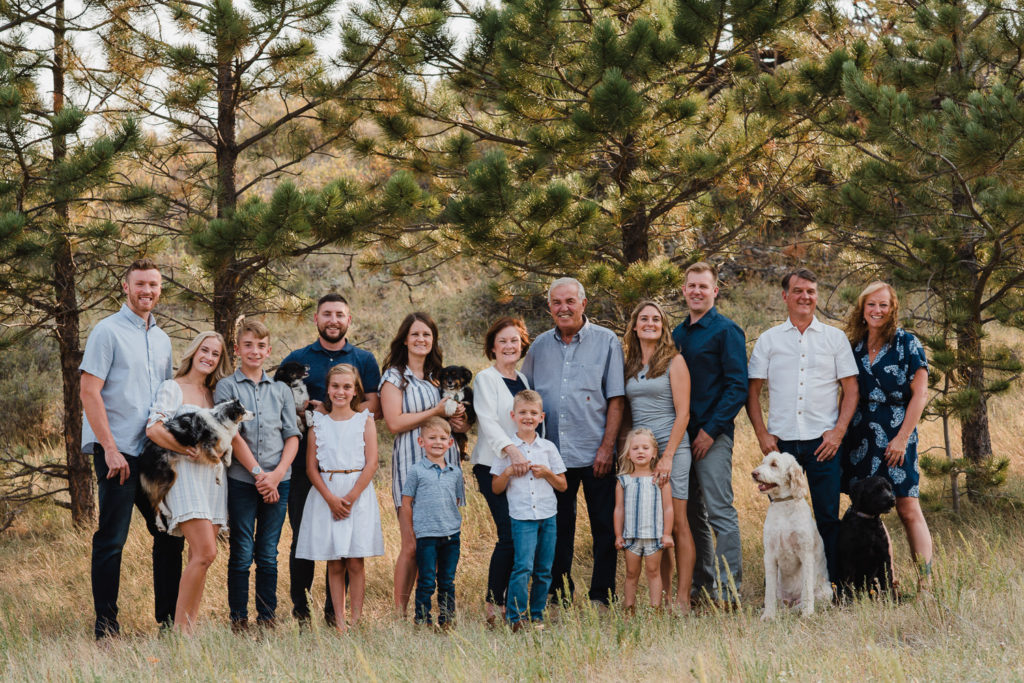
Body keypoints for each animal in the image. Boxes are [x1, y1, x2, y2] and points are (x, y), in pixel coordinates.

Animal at [140, 397, 253, 532]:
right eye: (243, 412)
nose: (253, 413)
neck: (219, 419)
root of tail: (143, 454)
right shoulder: (205, 447)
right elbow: (219, 463)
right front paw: (218, 478)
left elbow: (229, 446)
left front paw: (228, 459)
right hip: (167, 474)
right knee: (155, 499)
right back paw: (164, 516)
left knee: (155, 500)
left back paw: (161, 523)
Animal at [749, 450, 835, 618]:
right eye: (763, 462)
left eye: (774, 464)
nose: (754, 474)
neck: (784, 504)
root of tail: (790, 601)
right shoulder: (769, 555)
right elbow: (769, 593)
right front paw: (768, 616)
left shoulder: (806, 554)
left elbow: (807, 589)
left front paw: (807, 613)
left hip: (827, 593)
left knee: (800, 603)